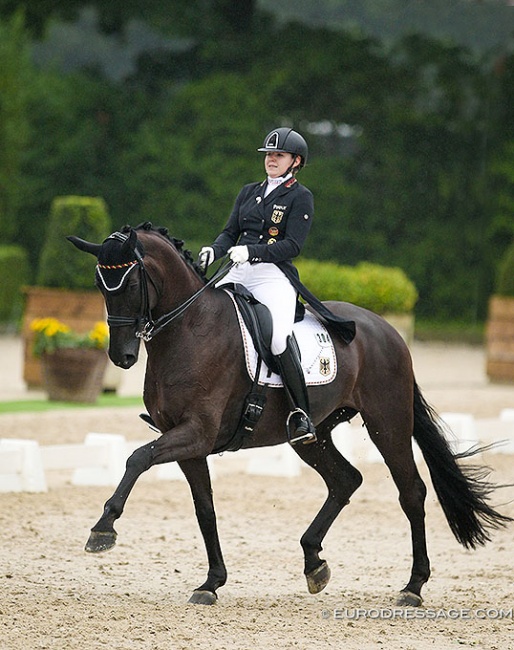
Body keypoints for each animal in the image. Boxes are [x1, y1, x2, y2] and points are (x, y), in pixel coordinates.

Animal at [67, 221, 508, 604]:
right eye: (99, 284)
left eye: (131, 282)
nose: (122, 357)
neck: (191, 329)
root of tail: (387, 330)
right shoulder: (188, 442)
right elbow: (204, 508)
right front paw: (211, 583)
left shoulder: (196, 432)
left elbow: (137, 457)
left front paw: (102, 530)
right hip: (312, 435)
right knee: (345, 479)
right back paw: (314, 563)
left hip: (388, 423)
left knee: (411, 491)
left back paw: (413, 587)